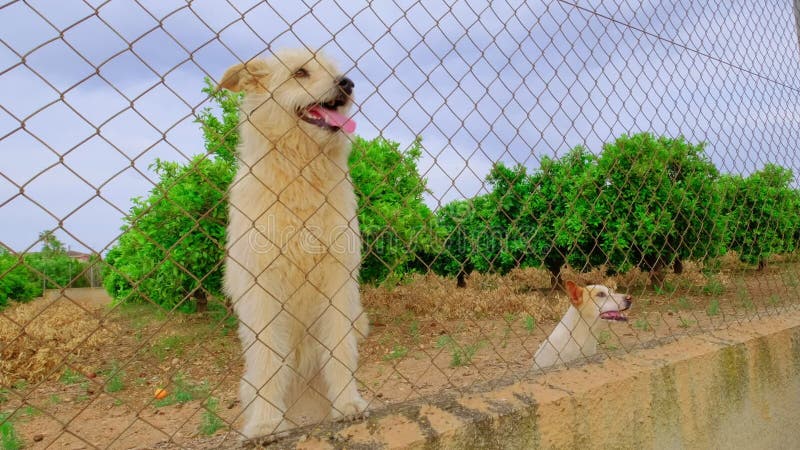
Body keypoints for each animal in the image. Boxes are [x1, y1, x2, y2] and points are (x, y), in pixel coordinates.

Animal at [219, 49, 368, 440]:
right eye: (300, 72)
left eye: (334, 71)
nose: (348, 83)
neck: (301, 170)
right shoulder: (262, 288)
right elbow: (268, 359)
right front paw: (265, 424)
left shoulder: (338, 280)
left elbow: (340, 349)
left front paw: (348, 403)